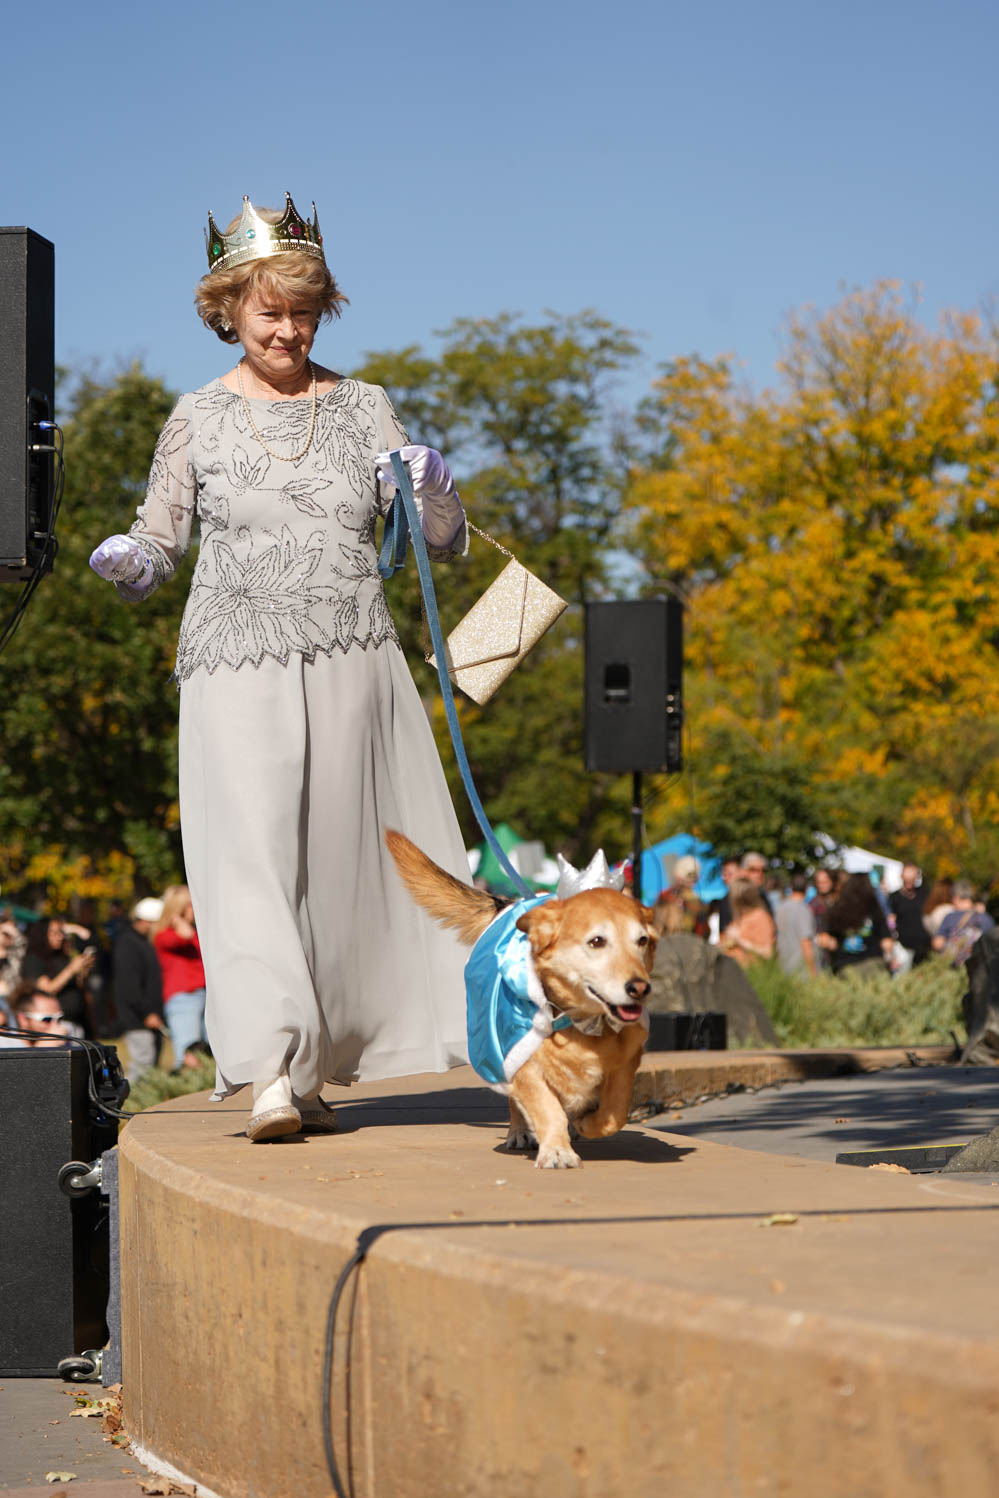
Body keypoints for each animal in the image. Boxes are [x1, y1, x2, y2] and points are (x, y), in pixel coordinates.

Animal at [383, 832, 656, 1168]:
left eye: (642, 940)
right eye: (596, 941)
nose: (639, 988)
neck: (581, 1023)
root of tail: (511, 902)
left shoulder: (625, 1064)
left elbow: (614, 1113)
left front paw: (586, 1124)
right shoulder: (522, 1062)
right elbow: (546, 1108)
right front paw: (556, 1150)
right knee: (518, 1101)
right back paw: (521, 1131)